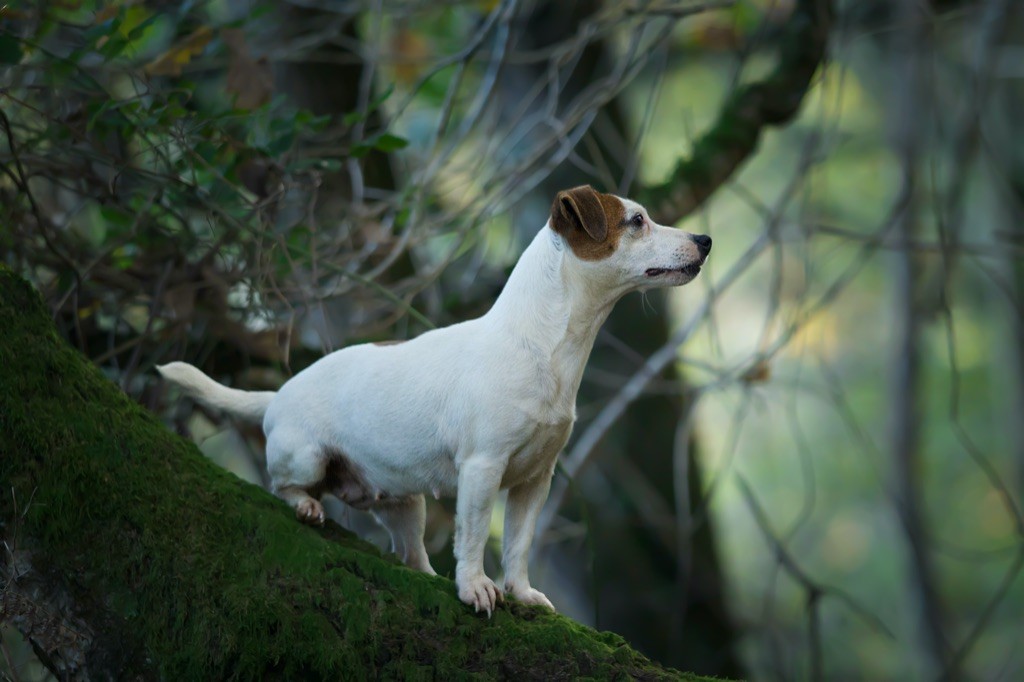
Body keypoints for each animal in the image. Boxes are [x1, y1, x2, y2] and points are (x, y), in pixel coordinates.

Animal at [159, 183, 708, 614]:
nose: (704, 240)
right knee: (283, 485)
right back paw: (307, 507)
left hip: (406, 505)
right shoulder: (483, 468)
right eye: (636, 221)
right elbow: (474, 535)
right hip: (307, 456)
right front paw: (476, 588)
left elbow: (519, 543)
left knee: (411, 555)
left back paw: (423, 574)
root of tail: (276, 395)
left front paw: (522, 593)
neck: (542, 347)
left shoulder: (535, 480)